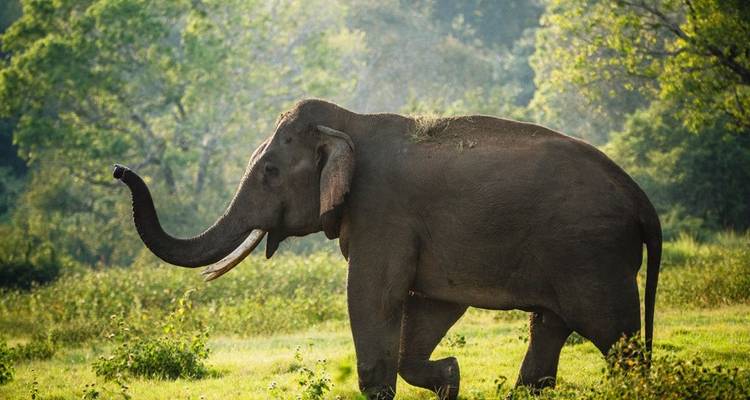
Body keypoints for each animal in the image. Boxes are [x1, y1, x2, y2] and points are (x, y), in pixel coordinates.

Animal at [113, 99, 661, 400]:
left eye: (269, 171)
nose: (118, 170)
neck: (350, 124)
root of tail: (641, 200)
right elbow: (428, 309)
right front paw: (450, 379)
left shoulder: (384, 214)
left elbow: (372, 298)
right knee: (549, 330)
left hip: (593, 256)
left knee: (618, 342)